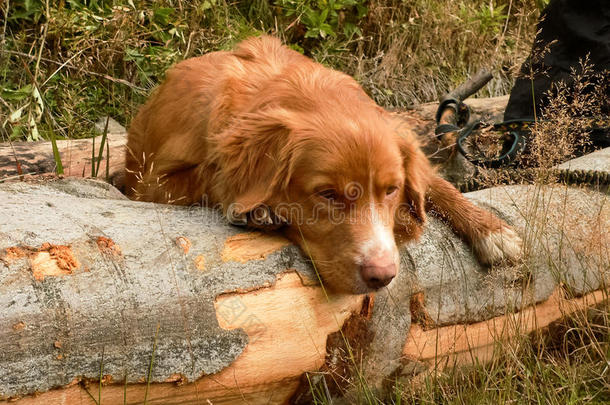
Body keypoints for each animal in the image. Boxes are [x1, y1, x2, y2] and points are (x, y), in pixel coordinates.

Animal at [124, 35, 524, 294]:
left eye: (392, 190)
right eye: (328, 194)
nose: (382, 275)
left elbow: (435, 183)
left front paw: (491, 231)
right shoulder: (152, 183)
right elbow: (211, 176)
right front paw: (260, 208)